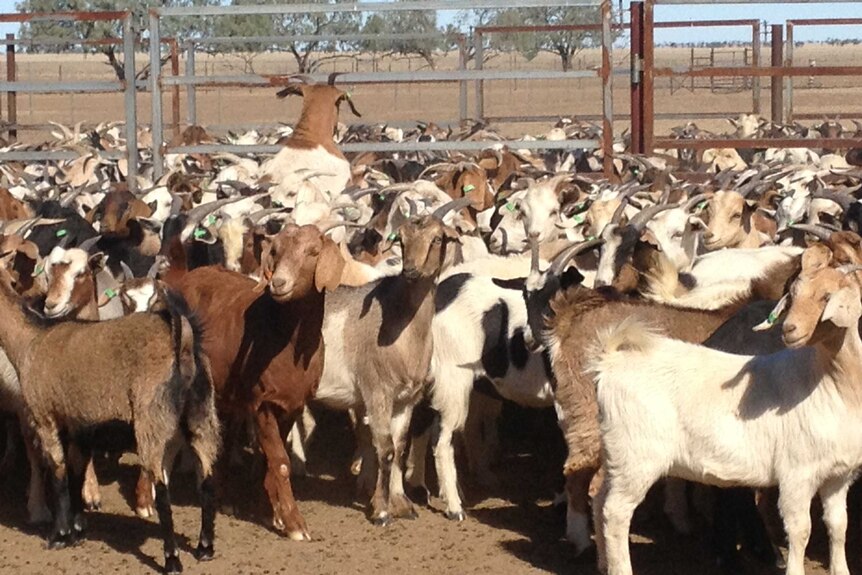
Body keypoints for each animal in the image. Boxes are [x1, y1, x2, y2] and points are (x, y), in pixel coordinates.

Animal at [592, 243, 862, 575]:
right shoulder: (797, 473)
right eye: (793, 293)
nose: (790, 329)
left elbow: (838, 526)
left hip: (616, 453)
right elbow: (801, 531)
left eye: (827, 297)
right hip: (637, 456)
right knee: (616, 512)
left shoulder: (839, 475)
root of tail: (611, 362)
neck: (827, 383)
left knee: (600, 499)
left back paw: (602, 563)